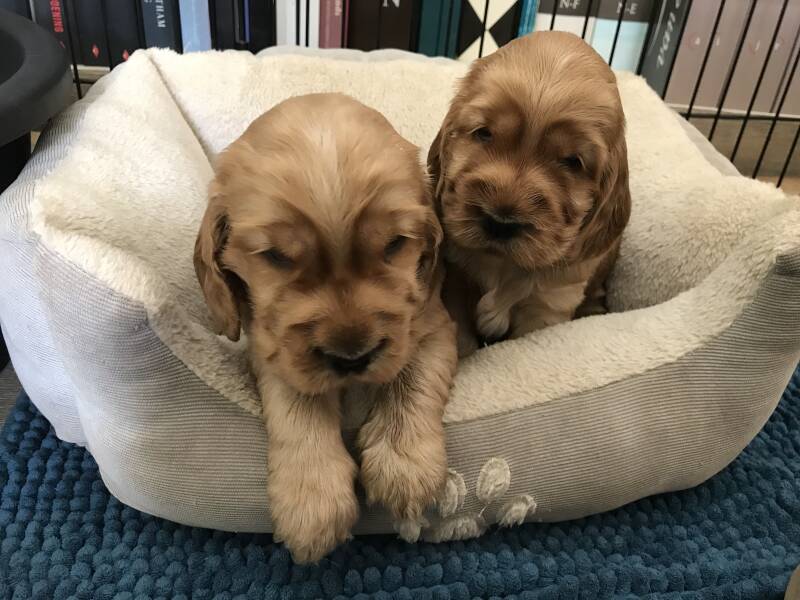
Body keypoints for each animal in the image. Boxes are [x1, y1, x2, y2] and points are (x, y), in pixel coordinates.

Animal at [194, 93, 457, 563]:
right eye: (276, 256)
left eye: (395, 244)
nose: (352, 358)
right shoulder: (273, 342)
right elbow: (298, 399)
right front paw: (311, 501)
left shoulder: (429, 322)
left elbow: (411, 374)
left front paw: (405, 464)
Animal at [428, 31, 631, 356]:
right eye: (483, 133)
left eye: (573, 161)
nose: (500, 222)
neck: (502, 265)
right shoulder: (457, 281)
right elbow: (461, 338)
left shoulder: (548, 306)